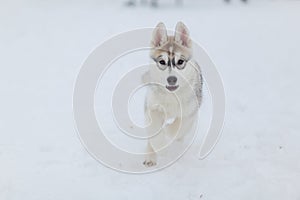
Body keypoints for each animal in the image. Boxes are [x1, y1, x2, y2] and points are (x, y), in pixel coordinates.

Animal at [143, 21, 204, 166]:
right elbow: (154, 130)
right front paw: (160, 148)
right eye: (162, 62)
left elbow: (177, 128)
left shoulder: (190, 112)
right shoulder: (152, 107)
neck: (171, 96)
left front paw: (167, 132)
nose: (172, 79)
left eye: (180, 61)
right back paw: (150, 157)